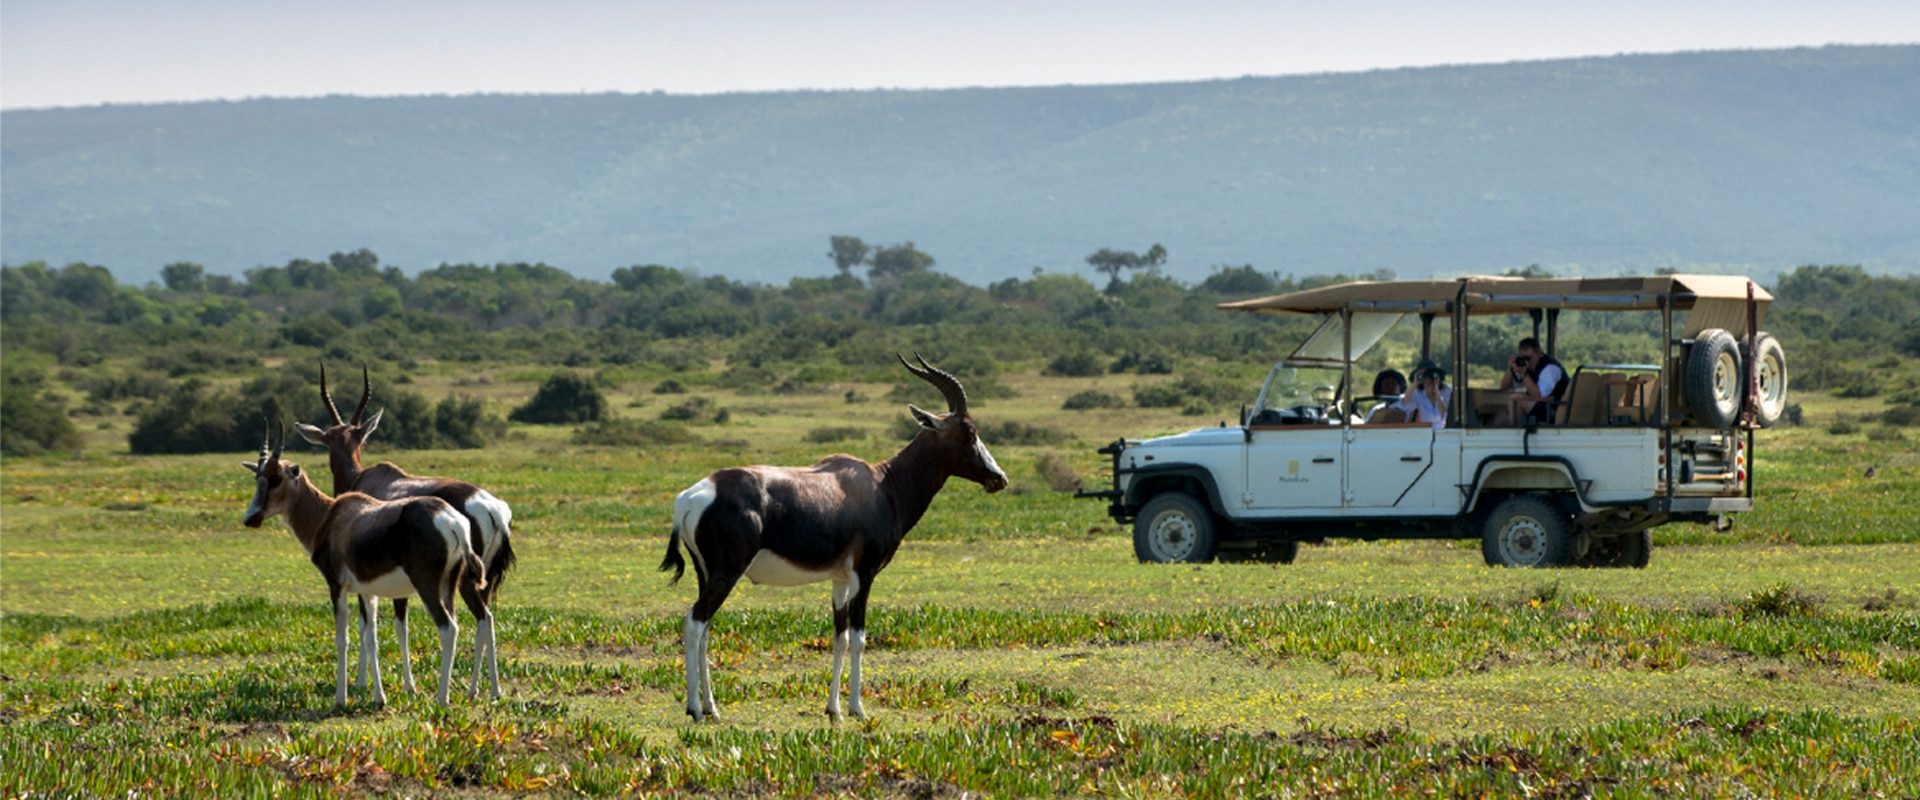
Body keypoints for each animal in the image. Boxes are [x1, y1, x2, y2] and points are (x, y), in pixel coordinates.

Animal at [240, 418, 491, 705]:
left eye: (276, 477)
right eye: (258, 477)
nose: (250, 518)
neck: (331, 516)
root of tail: (452, 521)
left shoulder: (336, 587)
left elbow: (343, 638)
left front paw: (341, 698)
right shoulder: (369, 591)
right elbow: (371, 637)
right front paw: (379, 697)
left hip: (427, 586)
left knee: (448, 628)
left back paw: (442, 698)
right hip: (449, 586)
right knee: (462, 623)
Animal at [297, 362, 510, 698]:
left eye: (358, 439)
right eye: (335, 439)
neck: (364, 479)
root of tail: (491, 508)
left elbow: (374, 624)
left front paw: (367, 683)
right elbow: (397, 623)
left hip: (460, 579)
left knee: (477, 618)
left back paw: (474, 690)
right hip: (481, 578)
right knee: (486, 618)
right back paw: (486, 690)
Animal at [664, 352, 1006, 721]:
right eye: (969, 432)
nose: (999, 478)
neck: (882, 484)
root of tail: (690, 497)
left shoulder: (840, 579)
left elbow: (839, 636)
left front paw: (834, 710)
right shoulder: (863, 573)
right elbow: (858, 638)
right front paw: (858, 709)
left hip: (706, 574)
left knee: (704, 629)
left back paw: (712, 708)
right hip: (726, 574)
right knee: (694, 622)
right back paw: (696, 709)